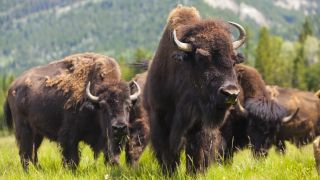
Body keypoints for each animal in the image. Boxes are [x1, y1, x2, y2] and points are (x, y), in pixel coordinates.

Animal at [2, 52, 140, 171]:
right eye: (103, 106)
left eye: (128, 106)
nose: (120, 127)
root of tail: (12, 86)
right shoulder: (68, 136)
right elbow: (72, 158)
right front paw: (70, 171)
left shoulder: (109, 139)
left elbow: (110, 155)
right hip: (24, 130)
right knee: (25, 153)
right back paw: (28, 172)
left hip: (37, 134)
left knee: (33, 152)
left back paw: (39, 170)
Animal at [144, 5, 246, 174]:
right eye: (201, 58)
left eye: (233, 60)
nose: (230, 93)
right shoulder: (159, 117)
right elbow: (167, 152)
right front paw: (169, 172)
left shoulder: (199, 124)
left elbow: (197, 151)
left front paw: (195, 173)